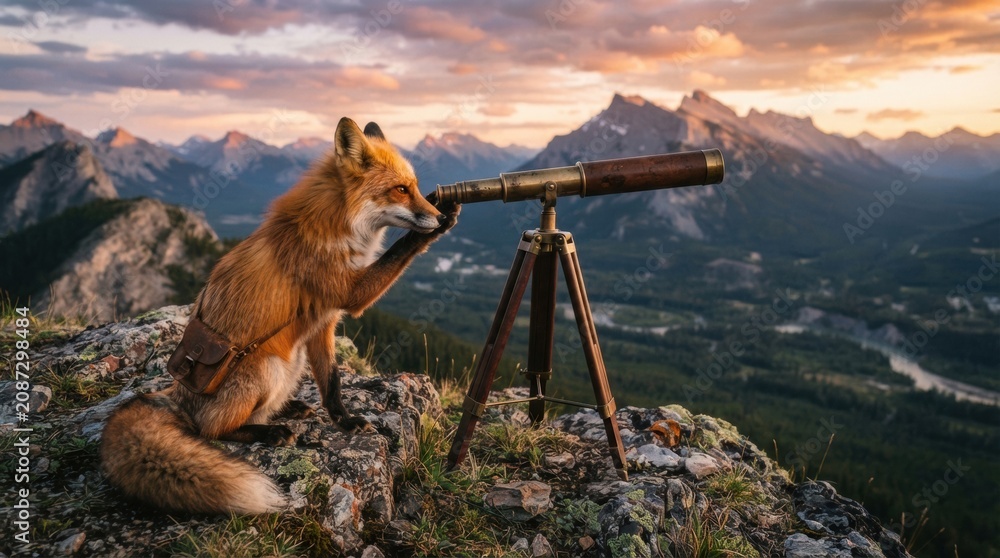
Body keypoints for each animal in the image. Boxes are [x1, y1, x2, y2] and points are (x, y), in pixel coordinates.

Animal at [99, 117, 459, 514]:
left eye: (416, 188)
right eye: (400, 189)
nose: (438, 215)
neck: (338, 227)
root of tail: (177, 396)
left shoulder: (323, 324)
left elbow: (332, 383)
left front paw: (345, 422)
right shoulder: (348, 293)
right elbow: (399, 249)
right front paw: (441, 225)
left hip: (293, 359)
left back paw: (290, 410)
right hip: (266, 367)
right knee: (212, 429)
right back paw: (270, 432)